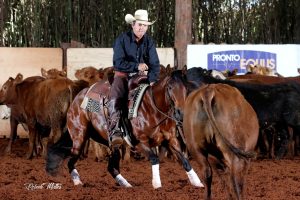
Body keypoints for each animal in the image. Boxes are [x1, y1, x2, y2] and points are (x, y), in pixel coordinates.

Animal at [45, 70, 204, 189]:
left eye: (185, 88)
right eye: (170, 88)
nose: (181, 113)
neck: (152, 109)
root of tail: (77, 98)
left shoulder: (171, 140)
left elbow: (184, 160)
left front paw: (197, 183)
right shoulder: (140, 142)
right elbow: (154, 158)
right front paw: (157, 185)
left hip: (110, 142)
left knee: (111, 167)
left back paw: (126, 184)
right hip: (79, 136)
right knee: (71, 160)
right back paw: (78, 182)